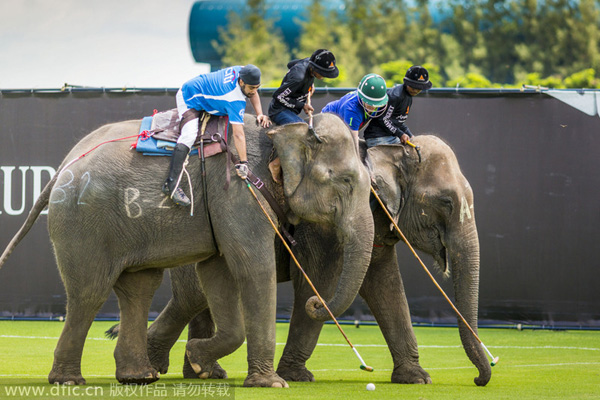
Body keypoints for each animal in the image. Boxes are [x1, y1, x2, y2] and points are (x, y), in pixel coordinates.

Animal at [0, 112, 376, 388]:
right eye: (345, 181)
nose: (315, 303)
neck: (282, 133)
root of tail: (64, 164)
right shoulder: (239, 193)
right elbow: (253, 268)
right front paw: (270, 384)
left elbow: (218, 272)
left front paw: (199, 362)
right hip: (82, 223)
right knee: (90, 293)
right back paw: (69, 381)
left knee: (139, 289)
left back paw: (140, 377)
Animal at [137, 134, 492, 388]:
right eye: (446, 202)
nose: (477, 379)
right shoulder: (321, 225)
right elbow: (319, 278)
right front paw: (296, 376)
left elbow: (385, 284)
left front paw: (417, 379)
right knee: (191, 298)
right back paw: (156, 367)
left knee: (199, 300)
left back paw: (203, 372)